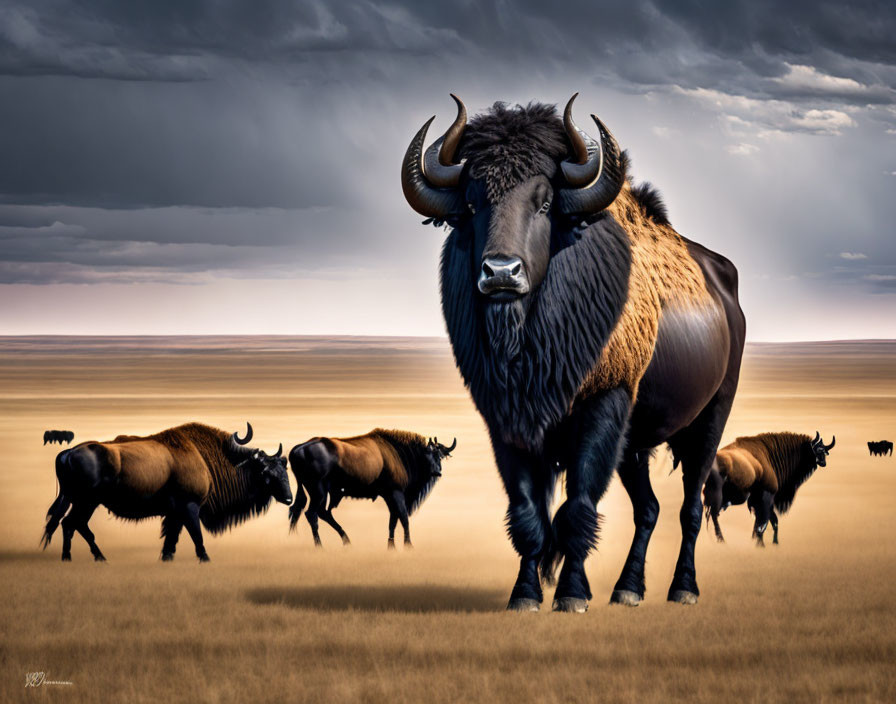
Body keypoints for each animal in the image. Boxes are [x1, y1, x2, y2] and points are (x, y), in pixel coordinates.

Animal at [40, 420, 292, 564]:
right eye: (266, 471)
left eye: (285, 468)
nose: (289, 498)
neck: (203, 456)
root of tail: (68, 452)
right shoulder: (190, 508)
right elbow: (195, 535)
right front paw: (205, 558)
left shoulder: (175, 513)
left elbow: (172, 537)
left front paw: (167, 558)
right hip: (87, 502)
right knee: (74, 524)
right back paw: (92, 557)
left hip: (81, 502)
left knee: (70, 524)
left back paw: (75, 557)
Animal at [288, 428, 456, 552]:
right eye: (428, 454)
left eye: (440, 455)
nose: (437, 472)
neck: (398, 453)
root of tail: (298, 449)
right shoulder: (396, 493)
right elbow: (403, 518)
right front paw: (408, 545)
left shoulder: (389, 496)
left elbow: (393, 520)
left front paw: (391, 546)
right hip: (319, 491)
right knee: (312, 514)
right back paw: (320, 546)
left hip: (323, 493)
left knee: (323, 513)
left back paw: (346, 540)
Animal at [402, 93, 744, 612]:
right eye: (473, 201)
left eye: (545, 202)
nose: (501, 273)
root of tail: (724, 286)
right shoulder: (505, 420)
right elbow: (528, 512)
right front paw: (524, 595)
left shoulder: (604, 406)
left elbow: (578, 505)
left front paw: (572, 595)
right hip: (635, 448)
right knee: (649, 508)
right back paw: (627, 589)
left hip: (709, 419)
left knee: (691, 505)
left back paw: (682, 588)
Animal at [700, 432, 832, 548]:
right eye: (818, 450)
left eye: (825, 452)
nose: (823, 462)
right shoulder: (766, 496)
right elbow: (763, 523)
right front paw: (760, 544)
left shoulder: (761, 501)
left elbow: (770, 521)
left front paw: (772, 543)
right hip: (717, 496)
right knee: (713, 515)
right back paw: (721, 540)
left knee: (710, 515)